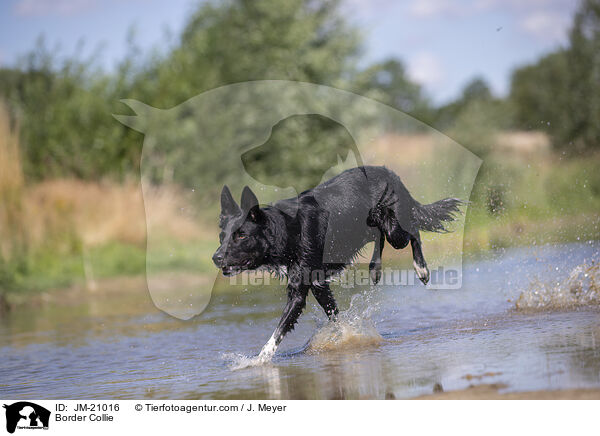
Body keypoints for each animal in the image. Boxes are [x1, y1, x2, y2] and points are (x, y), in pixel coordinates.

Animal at [213, 165, 462, 360]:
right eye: (222, 236)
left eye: (241, 236)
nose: (216, 258)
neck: (287, 230)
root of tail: (390, 174)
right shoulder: (317, 285)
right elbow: (334, 315)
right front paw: (344, 337)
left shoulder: (300, 291)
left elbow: (278, 331)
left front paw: (258, 361)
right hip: (371, 226)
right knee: (381, 237)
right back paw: (375, 268)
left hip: (395, 231)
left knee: (413, 232)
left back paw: (421, 269)